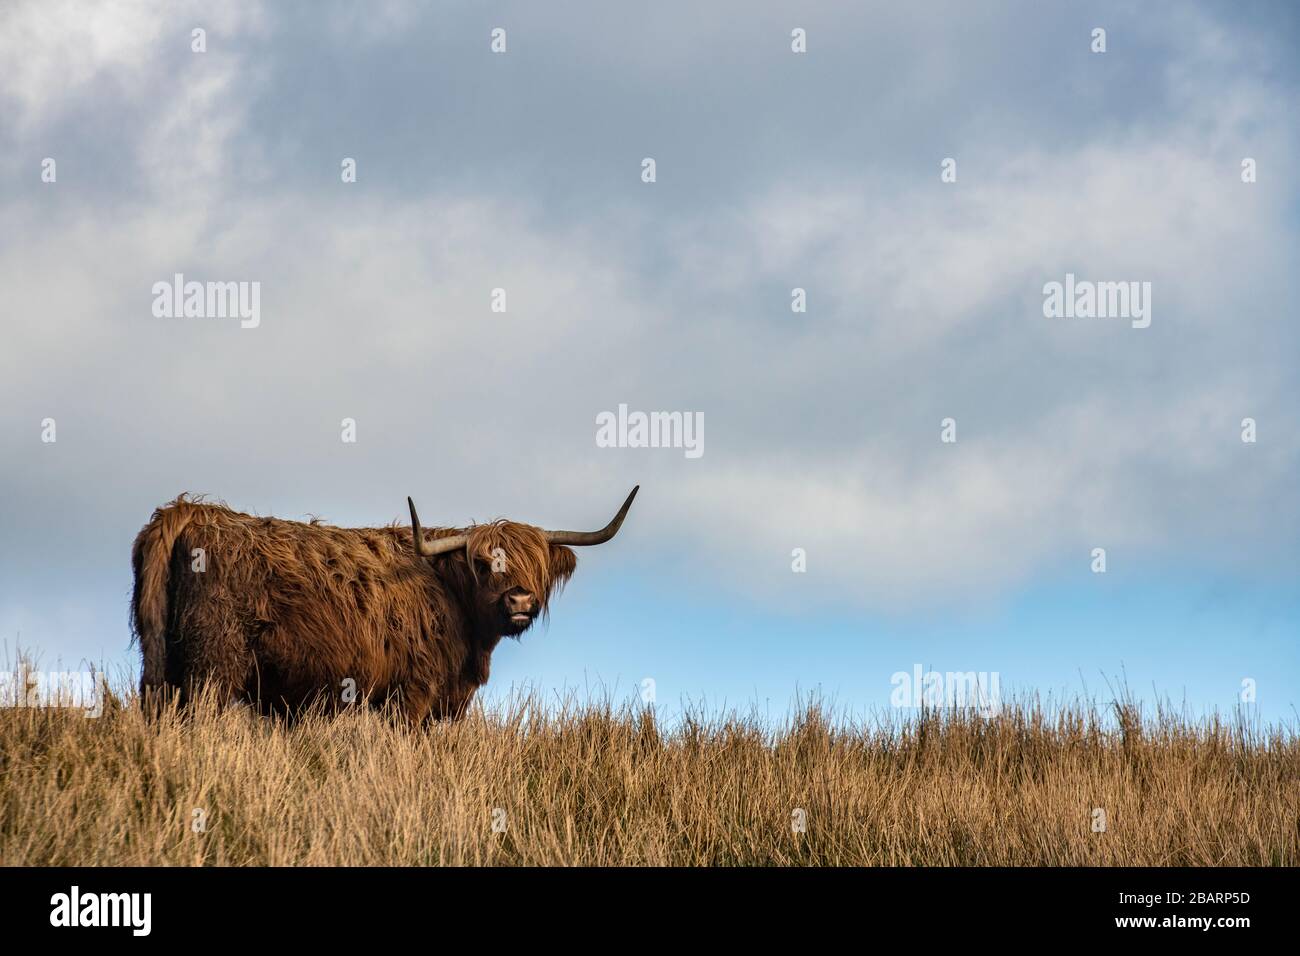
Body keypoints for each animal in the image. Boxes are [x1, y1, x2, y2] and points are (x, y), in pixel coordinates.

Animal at [130, 487, 638, 721]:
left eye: (536, 563)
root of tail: (193, 510)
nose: (519, 597)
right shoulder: (412, 694)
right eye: (482, 563)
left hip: (163, 664)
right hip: (214, 664)